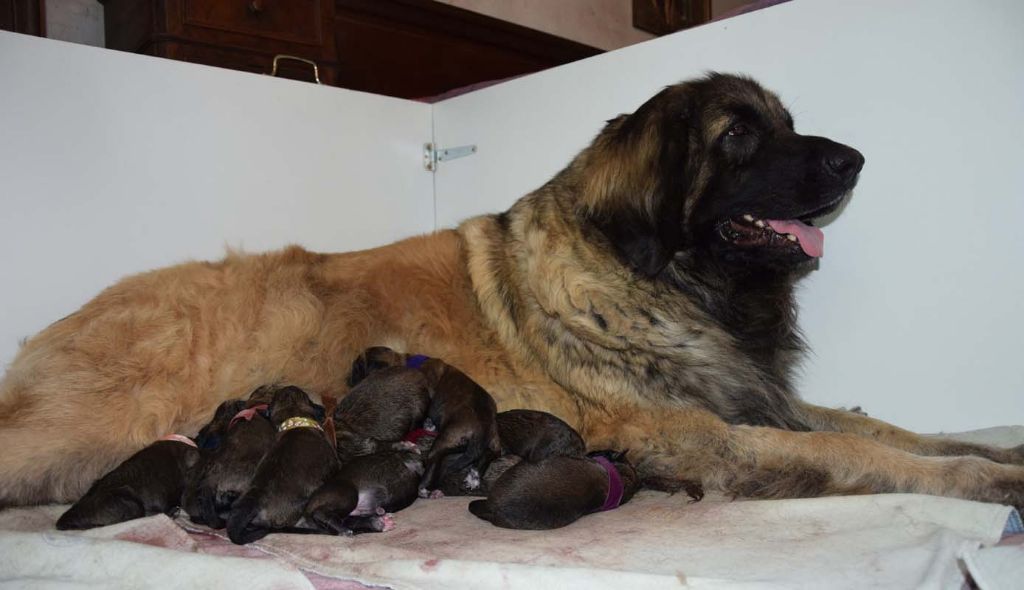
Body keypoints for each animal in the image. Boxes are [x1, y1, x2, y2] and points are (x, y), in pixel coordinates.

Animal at [2, 73, 1024, 508]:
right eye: (739, 134)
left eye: (790, 125)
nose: (854, 161)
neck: (664, 278)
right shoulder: (700, 434)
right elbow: (872, 454)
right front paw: (983, 482)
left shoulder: (759, 398)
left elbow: (895, 430)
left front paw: (995, 454)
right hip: (88, 423)